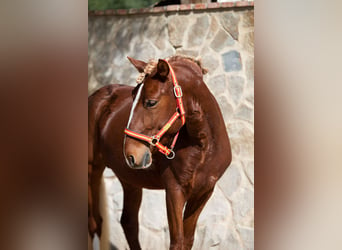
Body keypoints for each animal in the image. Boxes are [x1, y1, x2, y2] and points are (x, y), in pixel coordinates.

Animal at [88, 55, 232, 249]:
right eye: (132, 97)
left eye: (151, 102)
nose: (131, 153)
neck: (203, 150)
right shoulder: (174, 191)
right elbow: (177, 241)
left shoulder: (203, 193)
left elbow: (187, 240)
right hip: (93, 170)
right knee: (94, 223)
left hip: (130, 180)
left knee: (128, 222)